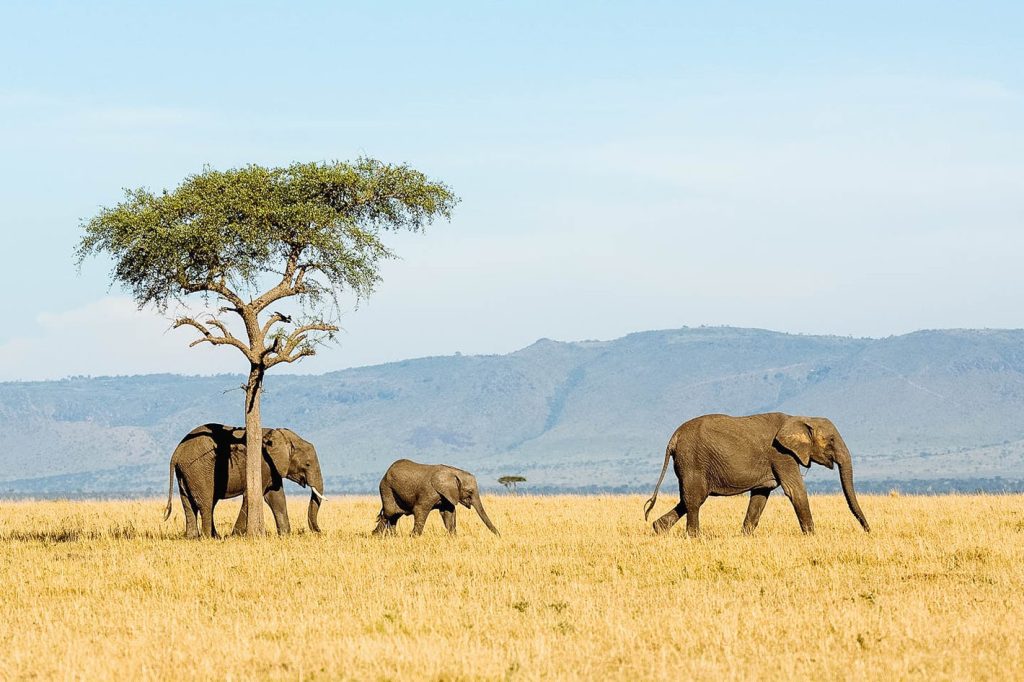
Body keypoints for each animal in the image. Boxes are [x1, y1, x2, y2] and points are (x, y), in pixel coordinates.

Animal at [163, 423, 325, 538]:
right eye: (308, 464)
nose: (318, 531)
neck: (279, 434)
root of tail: (177, 452)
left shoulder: (273, 468)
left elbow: (276, 498)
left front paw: (285, 536)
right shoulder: (263, 464)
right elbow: (252, 496)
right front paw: (236, 536)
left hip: (185, 473)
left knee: (188, 502)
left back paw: (195, 537)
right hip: (199, 469)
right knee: (206, 503)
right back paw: (208, 537)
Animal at [644, 412, 870, 536]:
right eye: (830, 441)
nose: (868, 531)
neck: (800, 418)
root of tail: (673, 438)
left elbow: (760, 496)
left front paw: (745, 536)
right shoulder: (781, 454)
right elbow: (795, 490)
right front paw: (812, 537)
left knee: (688, 498)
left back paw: (658, 529)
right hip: (693, 460)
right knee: (694, 499)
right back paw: (694, 537)